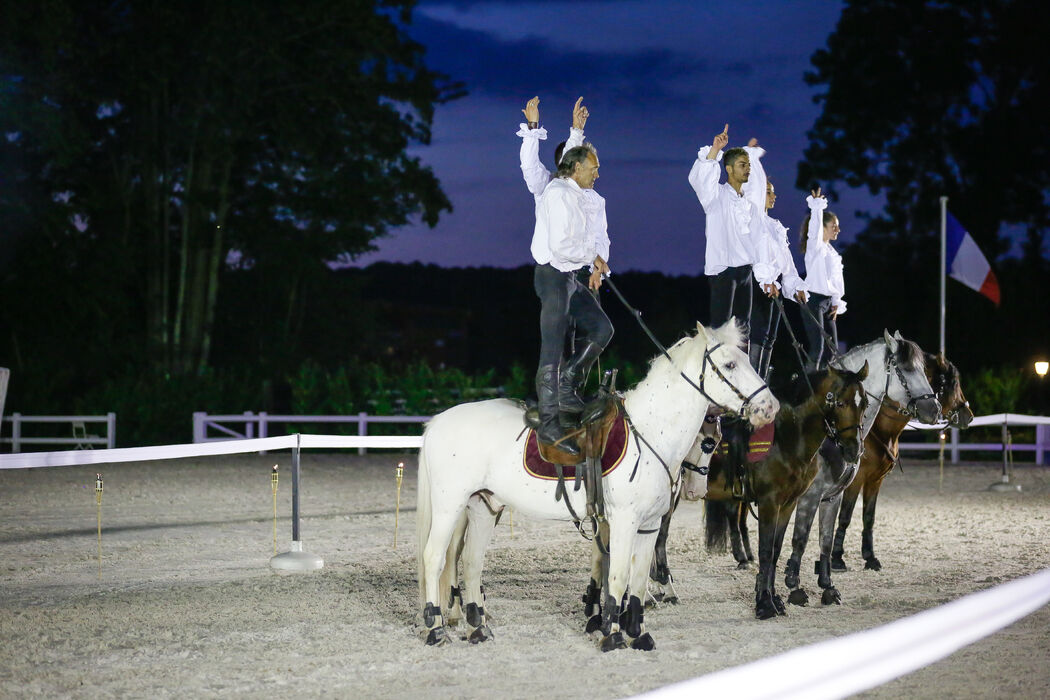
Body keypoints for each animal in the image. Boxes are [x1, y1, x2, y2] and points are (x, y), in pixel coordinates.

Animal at [411, 323, 781, 650]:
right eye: (730, 365)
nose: (770, 407)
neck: (649, 432)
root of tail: (437, 422)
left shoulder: (648, 525)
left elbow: (639, 579)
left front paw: (638, 634)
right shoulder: (623, 521)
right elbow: (617, 575)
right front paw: (612, 635)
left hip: (483, 506)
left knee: (471, 563)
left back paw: (478, 629)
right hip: (449, 506)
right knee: (434, 557)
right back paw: (436, 629)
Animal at [831, 352, 970, 570]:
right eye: (951, 384)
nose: (968, 416)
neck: (880, 429)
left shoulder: (875, 480)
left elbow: (868, 517)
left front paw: (870, 557)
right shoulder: (855, 479)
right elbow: (845, 516)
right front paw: (837, 558)